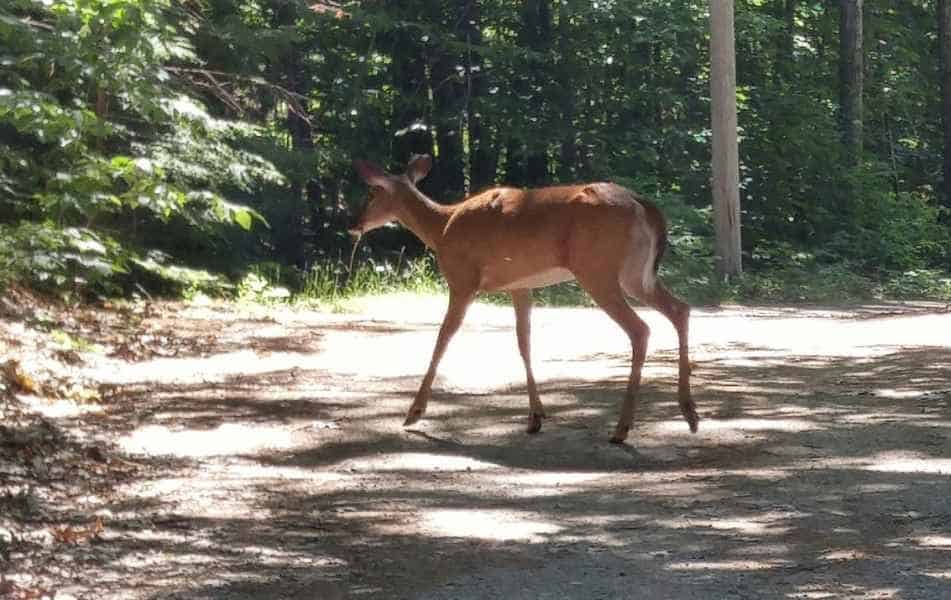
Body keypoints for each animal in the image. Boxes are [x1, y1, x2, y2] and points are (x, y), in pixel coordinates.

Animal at [350, 155, 700, 446]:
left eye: (372, 193)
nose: (353, 224)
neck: (441, 228)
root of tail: (645, 206)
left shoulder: (463, 280)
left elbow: (443, 338)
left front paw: (414, 412)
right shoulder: (520, 286)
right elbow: (524, 341)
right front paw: (535, 417)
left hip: (597, 270)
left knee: (641, 329)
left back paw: (622, 429)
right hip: (635, 274)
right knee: (680, 309)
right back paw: (689, 413)